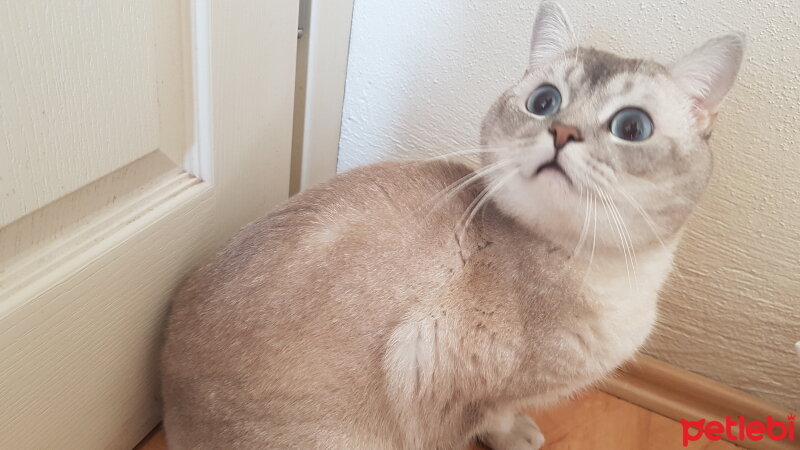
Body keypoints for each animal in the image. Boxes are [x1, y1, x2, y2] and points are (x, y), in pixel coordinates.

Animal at [161, 1, 744, 448]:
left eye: (632, 127)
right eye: (545, 101)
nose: (561, 133)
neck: (609, 271)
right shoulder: (452, 388)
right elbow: (492, 419)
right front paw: (517, 435)